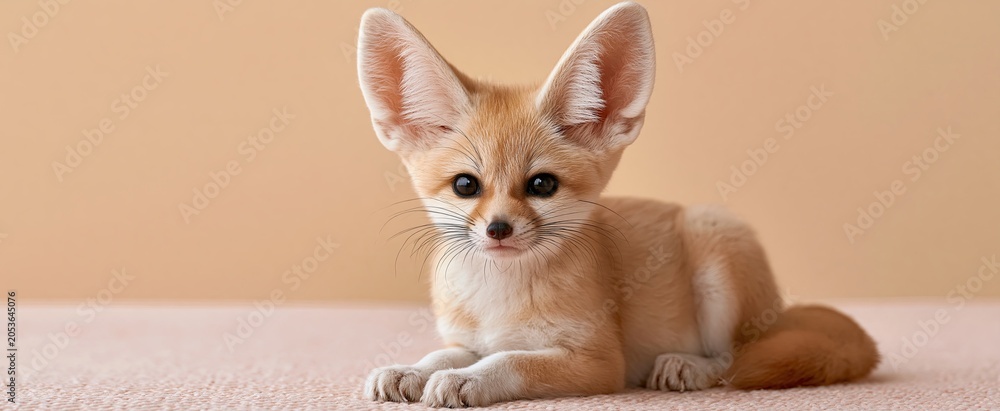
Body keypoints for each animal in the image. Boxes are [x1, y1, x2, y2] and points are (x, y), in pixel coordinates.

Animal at [357, 2, 879, 407]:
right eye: (466, 185)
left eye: (542, 184)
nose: (498, 230)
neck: (499, 301)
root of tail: (781, 311)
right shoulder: (466, 339)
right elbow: (444, 354)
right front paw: (411, 369)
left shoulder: (598, 360)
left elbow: (510, 360)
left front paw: (468, 381)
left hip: (716, 248)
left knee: (732, 358)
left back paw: (686, 367)